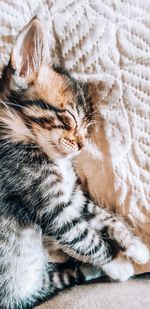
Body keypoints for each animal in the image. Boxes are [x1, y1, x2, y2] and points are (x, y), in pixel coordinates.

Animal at [0, 18, 149, 308]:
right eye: (70, 118)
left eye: (87, 127)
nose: (81, 146)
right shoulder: (51, 206)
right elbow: (84, 236)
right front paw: (116, 261)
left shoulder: (72, 194)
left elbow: (102, 215)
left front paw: (135, 246)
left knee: (51, 281)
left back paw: (88, 269)